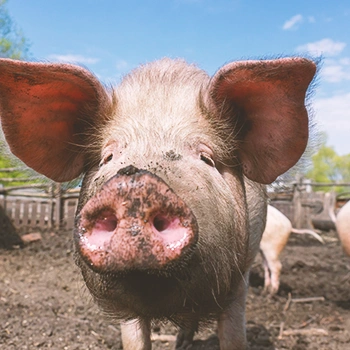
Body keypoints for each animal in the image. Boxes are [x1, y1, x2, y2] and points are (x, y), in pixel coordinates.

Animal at [0, 56, 318, 348]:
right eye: (107, 157)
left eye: (206, 157)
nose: (134, 185)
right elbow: (135, 339)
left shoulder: (239, 278)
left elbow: (233, 336)